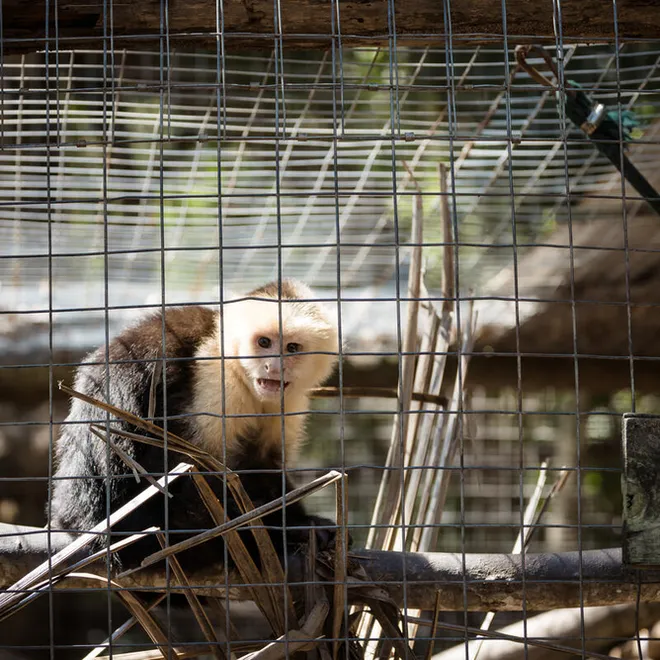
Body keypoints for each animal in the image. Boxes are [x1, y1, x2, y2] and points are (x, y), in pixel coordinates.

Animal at [48, 279, 341, 571]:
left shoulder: (287, 401)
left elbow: (262, 460)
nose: (274, 367)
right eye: (264, 342)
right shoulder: (216, 375)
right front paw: (277, 528)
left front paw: (297, 519)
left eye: (292, 348)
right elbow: (192, 463)